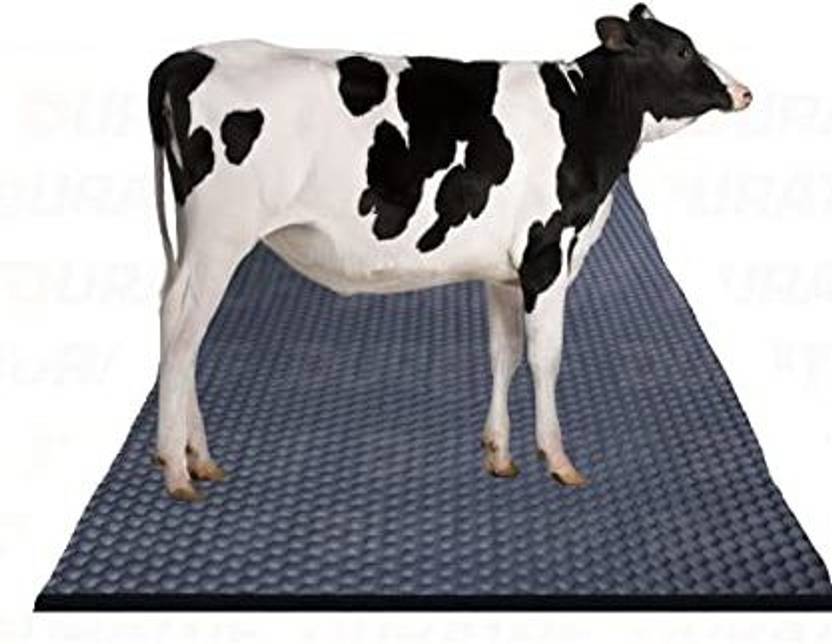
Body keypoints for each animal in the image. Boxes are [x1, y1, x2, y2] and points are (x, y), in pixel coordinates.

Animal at [148, 4, 752, 501]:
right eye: (681, 49)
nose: (744, 91)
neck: (585, 118)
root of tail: (190, 56)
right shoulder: (547, 254)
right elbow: (546, 357)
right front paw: (558, 460)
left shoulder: (506, 272)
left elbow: (504, 353)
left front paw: (500, 455)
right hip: (220, 235)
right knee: (183, 331)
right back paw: (178, 470)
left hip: (197, 236)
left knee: (176, 324)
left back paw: (195, 459)